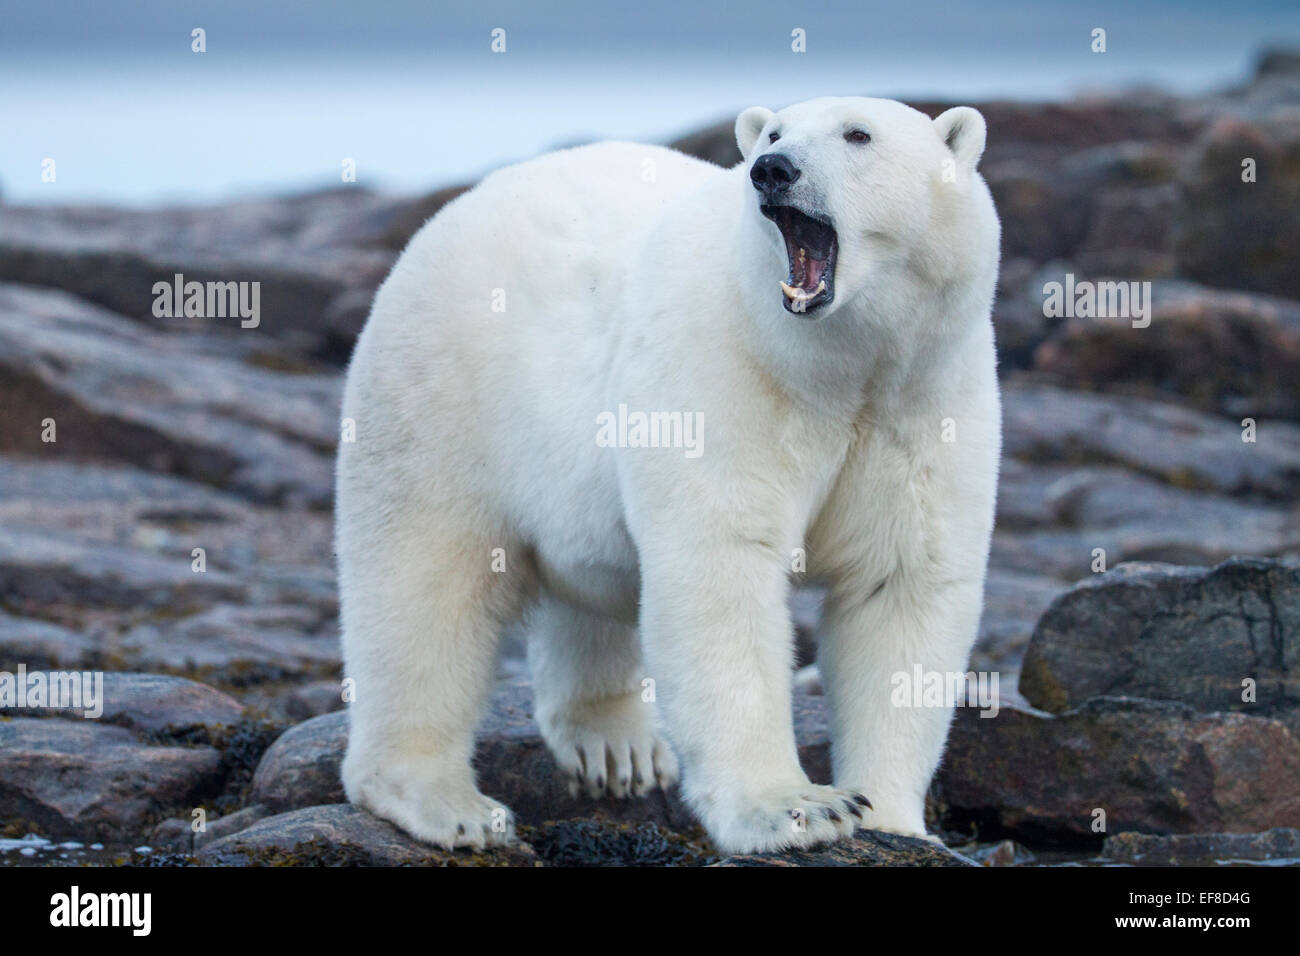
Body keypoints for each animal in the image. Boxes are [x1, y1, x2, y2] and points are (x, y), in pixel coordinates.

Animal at [332, 97, 993, 858]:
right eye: (773, 134)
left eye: (859, 135)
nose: (774, 170)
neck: (837, 367)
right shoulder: (726, 372)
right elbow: (721, 570)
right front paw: (796, 809)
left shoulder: (924, 402)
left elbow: (902, 588)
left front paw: (892, 819)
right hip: (439, 391)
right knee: (422, 587)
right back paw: (446, 803)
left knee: (584, 588)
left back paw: (615, 745)